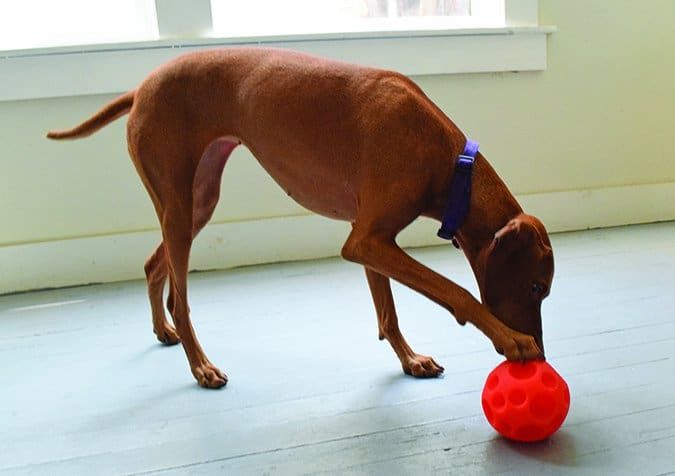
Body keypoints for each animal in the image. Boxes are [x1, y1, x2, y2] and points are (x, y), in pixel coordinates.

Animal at [48, 48, 556, 388]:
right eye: (537, 288)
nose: (544, 356)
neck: (451, 165)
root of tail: (142, 87)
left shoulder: (370, 241)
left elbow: (388, 312)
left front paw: (409, 360)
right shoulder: (367, 241)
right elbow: (457, 292)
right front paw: (512, 340)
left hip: (197, 202)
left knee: (156, 266)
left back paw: (163, 332)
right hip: (177, 205)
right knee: (180, 298)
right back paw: (200, 366)